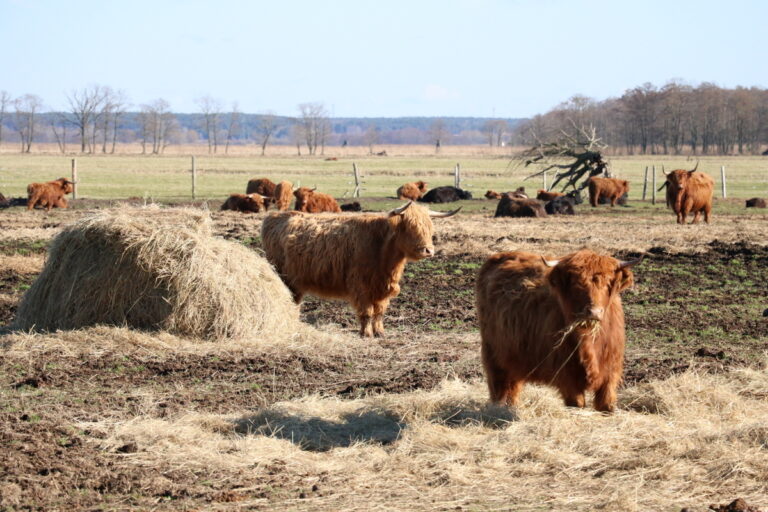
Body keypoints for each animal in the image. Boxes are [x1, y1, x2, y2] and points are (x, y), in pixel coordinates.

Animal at [260, 202, 460, 338]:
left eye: (429, 227)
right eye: (410, 227)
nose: (428, 250)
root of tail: (274, 217)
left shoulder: (382, 287)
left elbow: (379, 312)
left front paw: (380, 332)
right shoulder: (361, 286)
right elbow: (367, 312)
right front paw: (366, 334)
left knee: (294, 301)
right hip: (283, 276)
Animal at [476, 248, 640, 412]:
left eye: (608, 282)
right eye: (576, 283)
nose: (593, 312)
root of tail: (501, 255)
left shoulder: (610, 373)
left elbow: (606, 405)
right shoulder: (567, 376)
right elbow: (577, 404)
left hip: (515, 357)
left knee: (513, 386)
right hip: (493, 353)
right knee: (499, 385)